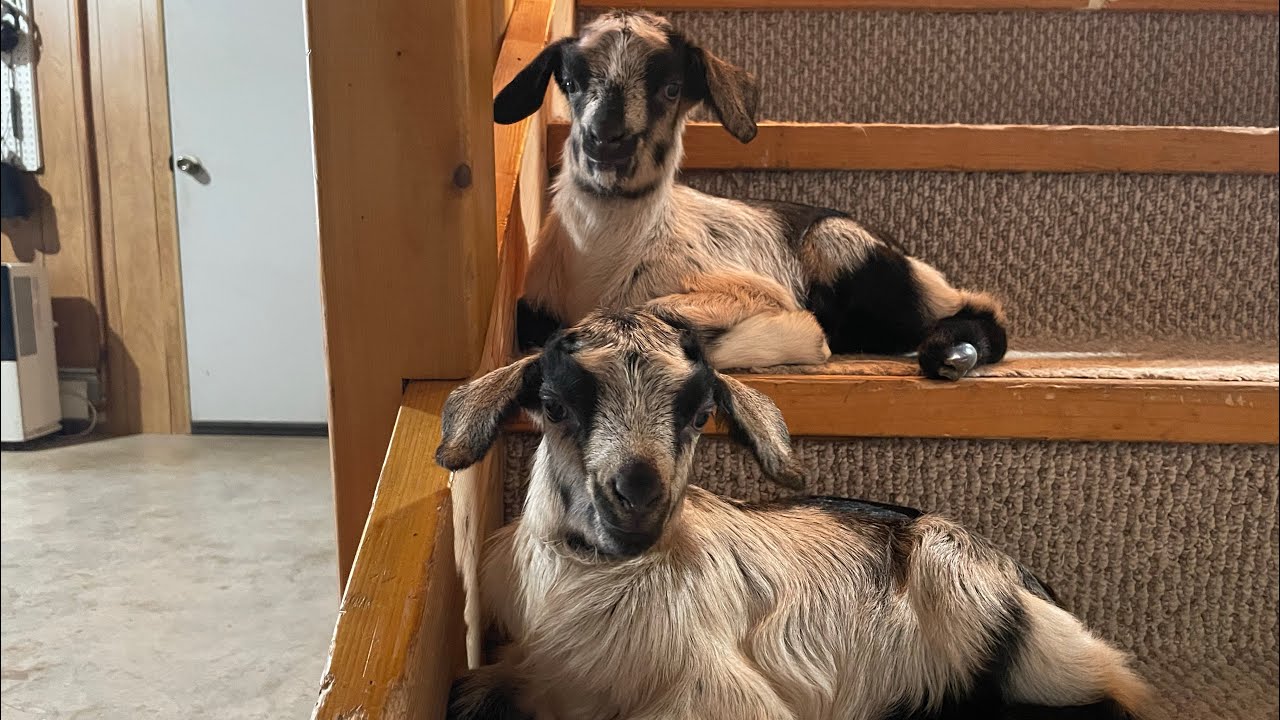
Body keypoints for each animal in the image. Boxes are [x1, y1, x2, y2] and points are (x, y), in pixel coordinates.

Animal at [435, 309, 1152, 720]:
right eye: (554, 405)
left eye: (700, 414)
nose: (637, 495)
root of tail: (1030, 580)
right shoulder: (516, 673)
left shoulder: (723, 700)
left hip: (963, 581)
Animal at [495, 11, 1008, 380]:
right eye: (570, 83)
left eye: (672, 88)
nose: (607, 141)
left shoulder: (747, 288)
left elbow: (656, 315)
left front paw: (797, 337)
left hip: (841, 246)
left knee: (977, 307)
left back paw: (952, 353)